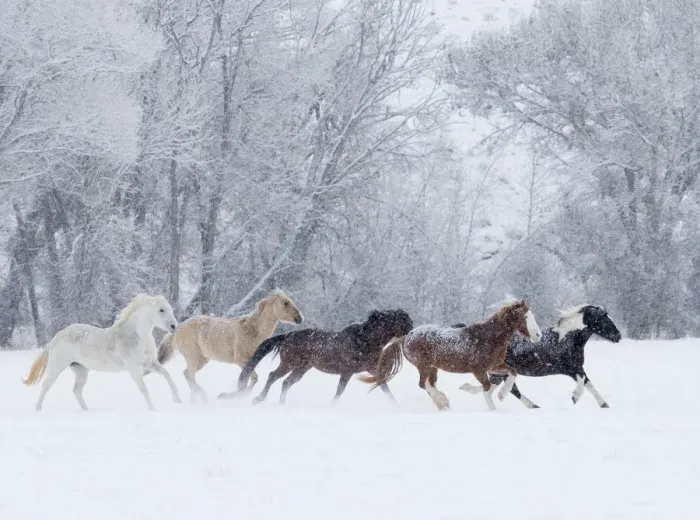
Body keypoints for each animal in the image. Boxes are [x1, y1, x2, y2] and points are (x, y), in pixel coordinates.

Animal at [23, 294, 181, 411]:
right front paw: (152, 409)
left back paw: (86, 411)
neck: (137, 336)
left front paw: (177, 400)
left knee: (76, 391)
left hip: (81, 370)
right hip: (57, 366)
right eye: (161, 310)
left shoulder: (149, 363)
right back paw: (38, 409)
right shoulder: (133, 368)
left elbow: (167, 376)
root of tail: (57, 337)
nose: (174, 326)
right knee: (46, 385)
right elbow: (143, 389)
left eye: (170, 309)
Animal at [156, 288, 303, 403]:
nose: (300, 318)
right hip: (194, 357)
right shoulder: (241, 360)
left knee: (188, 375)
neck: (252, 330)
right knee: (189, 375)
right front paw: (232, 396)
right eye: (285, 302)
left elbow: (251, 380)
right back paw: (203, 397)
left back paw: (195, 400)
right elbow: (249, 380)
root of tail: (177, 329)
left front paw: (241, 396)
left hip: (202, 359)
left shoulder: (252, 361)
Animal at [229, 309, 414, 405]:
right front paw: (332, 405)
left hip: (301, 369)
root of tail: (287, 335)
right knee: (273, 376)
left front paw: (396, 405)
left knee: (286, 382)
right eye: (404, 321)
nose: (412, 332)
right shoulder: (347, 371)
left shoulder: (372, 369)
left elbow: (384, 387)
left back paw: (282, 403)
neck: (364, 340)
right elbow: (340, 390)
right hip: (289, 364)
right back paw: (259, 399)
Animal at [360, 300, 542, 411]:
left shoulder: (495, 366)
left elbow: (512, 373)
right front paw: (493, 407)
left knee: (429, 385)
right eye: (525, 316)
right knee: (423, 384)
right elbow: (487, 387)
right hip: (424, 365)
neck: (489, 338)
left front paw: (501, 395)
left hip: (433, 368)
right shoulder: (478, 370)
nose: (538, 335)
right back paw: (443, 401)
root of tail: (406, 336)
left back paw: (443, 405)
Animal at [459, 304, 621, 408]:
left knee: (497, 387)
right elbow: (582, 382)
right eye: (604, 319)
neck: (566, 339)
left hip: (499, 372)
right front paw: (575, 397)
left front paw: (604, 405)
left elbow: (590, 385)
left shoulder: (577, 368)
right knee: (509, 390)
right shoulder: (570, 369)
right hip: (501, 371)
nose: (618, 336)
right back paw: (532, 406)